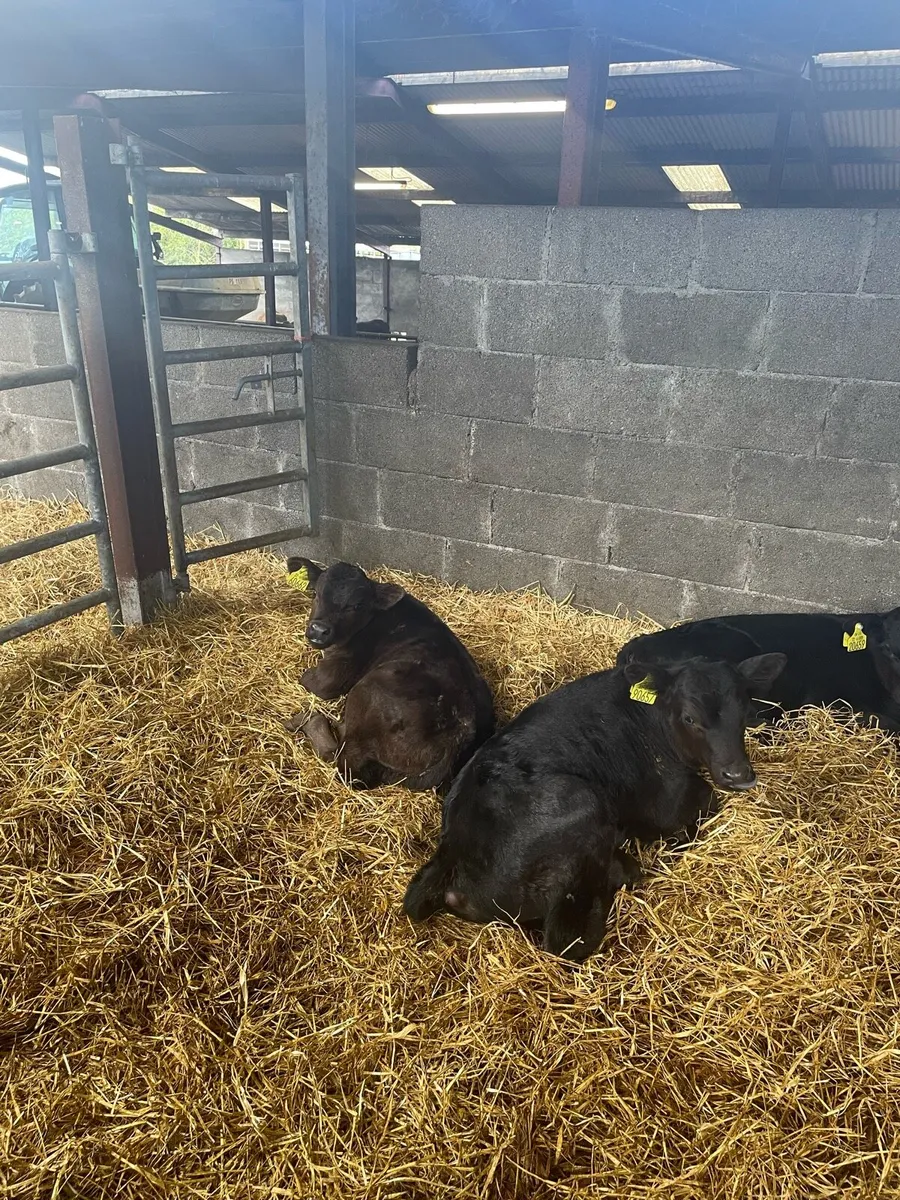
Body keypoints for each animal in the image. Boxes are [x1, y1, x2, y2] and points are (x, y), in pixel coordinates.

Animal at [284, 558, 496, 791]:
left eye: (356, 606)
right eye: (316, 594)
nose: (319, 630)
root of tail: (460, 735)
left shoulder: (332, 675)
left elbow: (309, 680)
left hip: (367, 692)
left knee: (345, 765)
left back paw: (306, 720)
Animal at [403, 653, 785, 962]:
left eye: (745, 713)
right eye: (690, 718)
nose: (738, 775)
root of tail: (450, 856)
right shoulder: (663, 807)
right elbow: (707, 801)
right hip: (583, 802)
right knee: (567, 940)